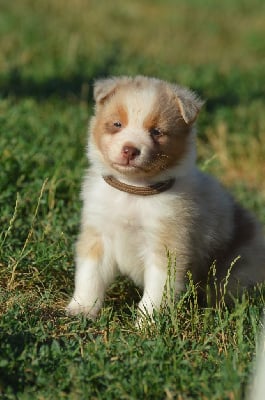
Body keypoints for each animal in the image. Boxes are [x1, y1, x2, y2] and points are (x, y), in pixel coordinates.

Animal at [65, 75, 264, 318]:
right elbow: (90, 275)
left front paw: (147, 322)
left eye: (157, 132)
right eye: (117, 124)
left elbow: (156, 292)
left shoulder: (167, 247)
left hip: (235, 270)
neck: (134, 190)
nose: (130, 150)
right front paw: (81, 309)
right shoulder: (98, 233)